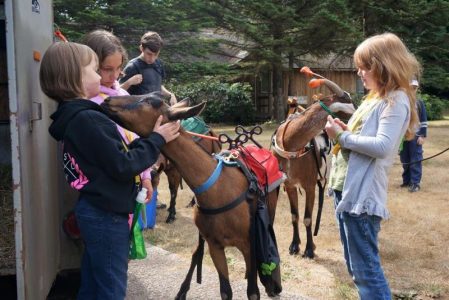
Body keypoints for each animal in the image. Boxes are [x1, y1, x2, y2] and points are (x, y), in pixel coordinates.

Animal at [102, 95, 280, 298]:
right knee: (196, 253)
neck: (219, 186)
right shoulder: (214, 244)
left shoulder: (248, 244)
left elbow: (252, 292)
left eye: (147, 101)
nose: (107, 100)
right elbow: (225, 291)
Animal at [272, 77, 356, 258]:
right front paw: (294, 245)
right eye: (348, 111)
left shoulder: (309, 185)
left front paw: (309, 249)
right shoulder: (289, 185)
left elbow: (307, 218)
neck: (291, 144)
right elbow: (294, 216)